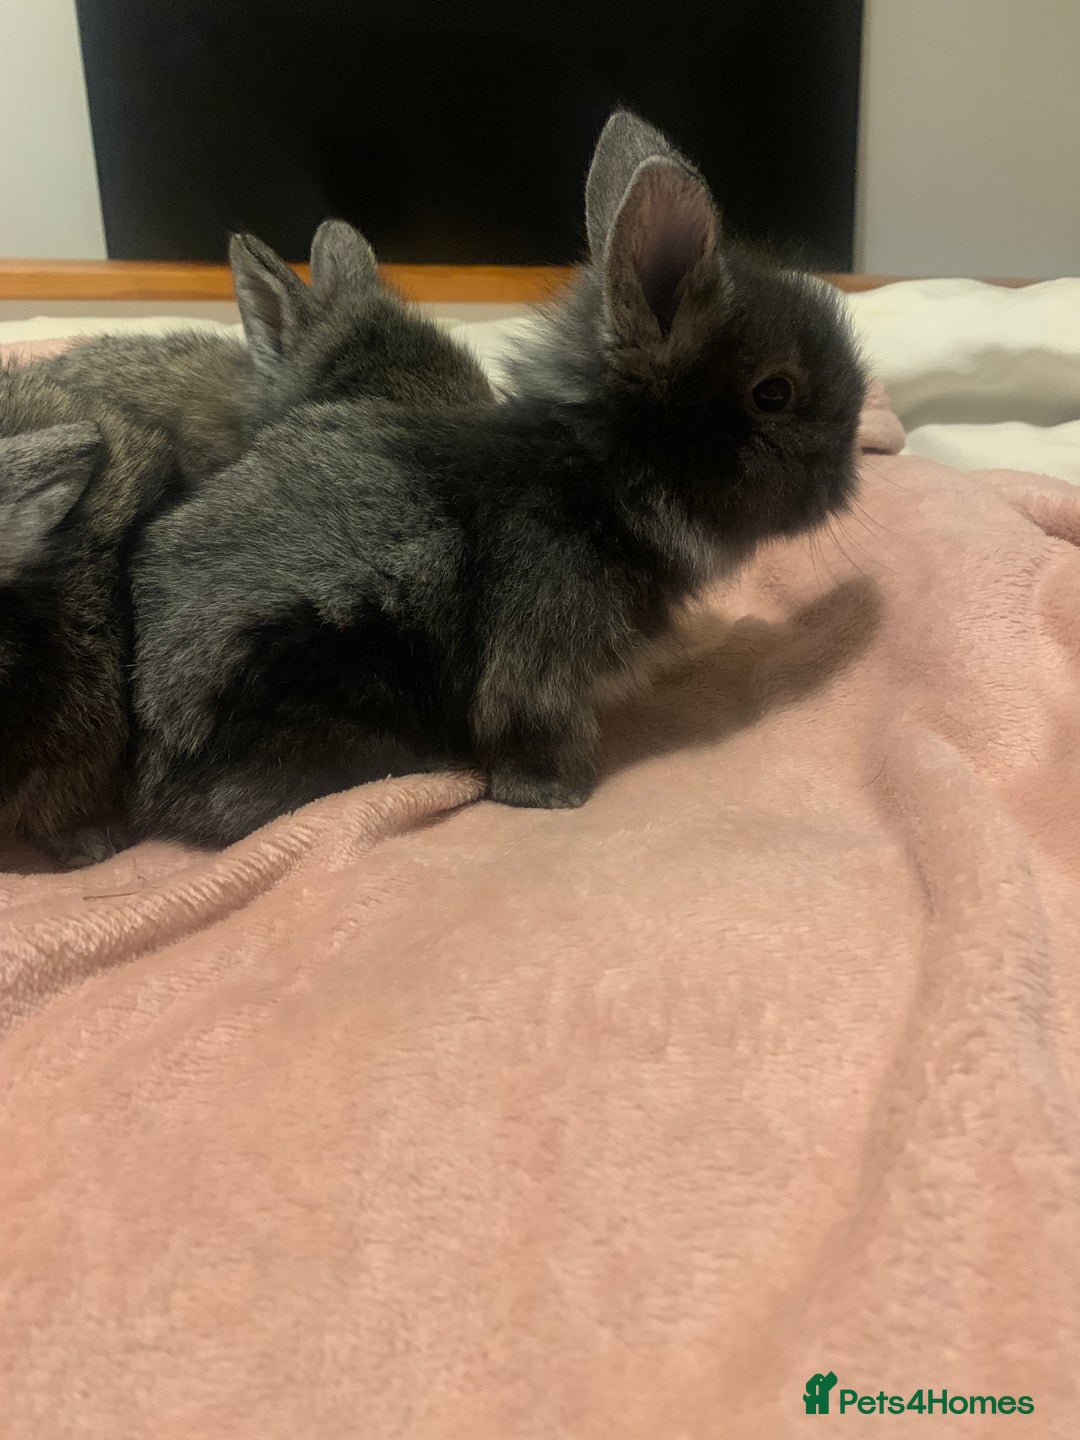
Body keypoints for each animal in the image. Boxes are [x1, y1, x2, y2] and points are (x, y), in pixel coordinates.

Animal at [130, 109, 867, 849]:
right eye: (773, 394)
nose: (848, 478)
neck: (596, 485)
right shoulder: (535, 672)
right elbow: (531, 735)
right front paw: (558, 797)